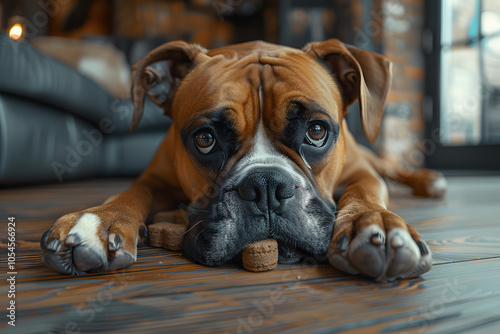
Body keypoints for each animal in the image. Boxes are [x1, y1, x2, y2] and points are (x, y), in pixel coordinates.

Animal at [40, 39, 446, 282]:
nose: (265, 186)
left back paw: (429, 180)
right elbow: (127, 195)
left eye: (316, 131)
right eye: (205, 139)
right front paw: (98, 220)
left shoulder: (362, 173)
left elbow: (365, 195)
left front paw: (375, 224)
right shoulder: (153, 179)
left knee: (392, 167)